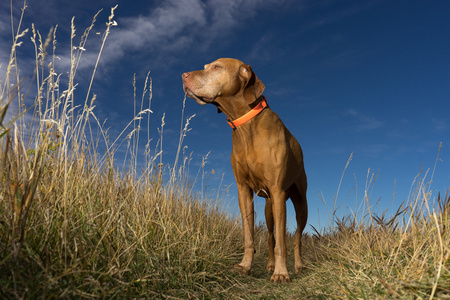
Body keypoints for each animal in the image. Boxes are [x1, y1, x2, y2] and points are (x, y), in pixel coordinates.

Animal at [181, 57, 308, 282]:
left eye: (217, 67)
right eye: (205, 67)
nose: (183, 76)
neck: (245, 124)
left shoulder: (277, 190)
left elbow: (283, 242)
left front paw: (281, 273)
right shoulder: (243, 191)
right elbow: (250, 236)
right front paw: (245, 265)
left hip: (301, 204)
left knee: (296, 238)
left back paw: (298, 265)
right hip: (269, 208)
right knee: (270, 236)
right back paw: (270, 265)